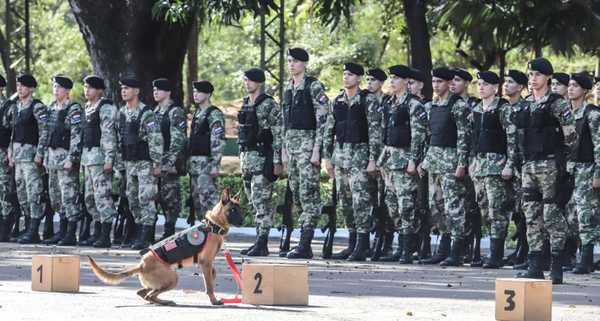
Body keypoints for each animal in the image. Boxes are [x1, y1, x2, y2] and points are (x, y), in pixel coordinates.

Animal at [86, 188, 244, 304]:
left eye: (240, 210)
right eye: (233, 210)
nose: (243, 221)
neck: (213, 225)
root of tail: (141, 265)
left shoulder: (207, 263)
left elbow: (212, 275)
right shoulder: (206, 262)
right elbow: (209, 285)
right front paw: (213, 300)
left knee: (144, 293)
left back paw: (160, 300)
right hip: (173, 278)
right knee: (149, 295)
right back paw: (164, 301)